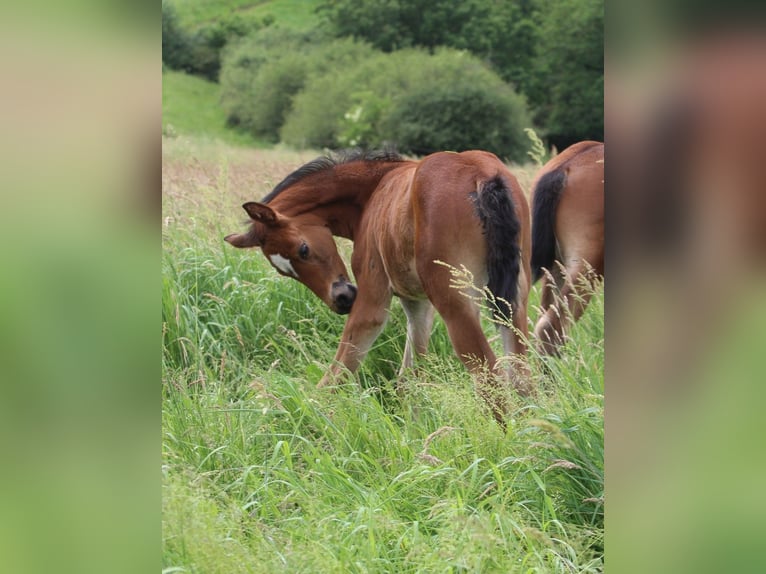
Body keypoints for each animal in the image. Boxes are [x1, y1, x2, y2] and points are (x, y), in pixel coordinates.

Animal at [225, 149, 532, 423]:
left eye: (303, 249)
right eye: (283, 272)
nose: (341, 300)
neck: (372, 193)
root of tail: (481, 175)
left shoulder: (373, 299)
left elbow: (339, 370)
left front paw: (307, 418)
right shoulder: (418, 304)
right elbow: (409, 379)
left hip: (456, 304)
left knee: (490, 379)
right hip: (513, 302)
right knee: (521, 376)